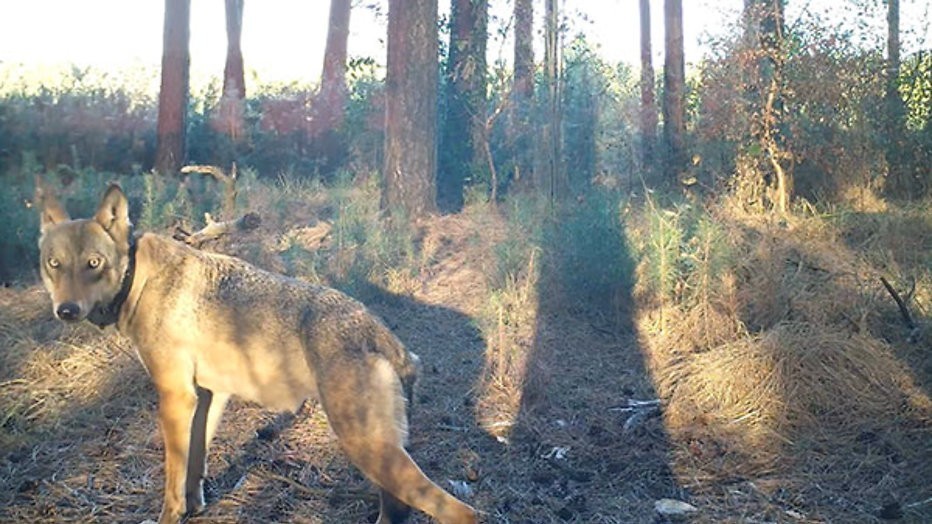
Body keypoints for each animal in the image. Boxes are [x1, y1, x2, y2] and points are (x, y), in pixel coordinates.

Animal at [36, 183, 478, 524]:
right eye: (54, 264)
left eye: (94, 263)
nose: (66, 311)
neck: (137, 280)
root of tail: (386, 337)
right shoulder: (207, 397)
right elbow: (195, 469)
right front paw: (195, 509)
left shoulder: (175, 397)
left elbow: (172, 482)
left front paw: (169, 515)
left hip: (367, 448)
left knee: (462, 512)